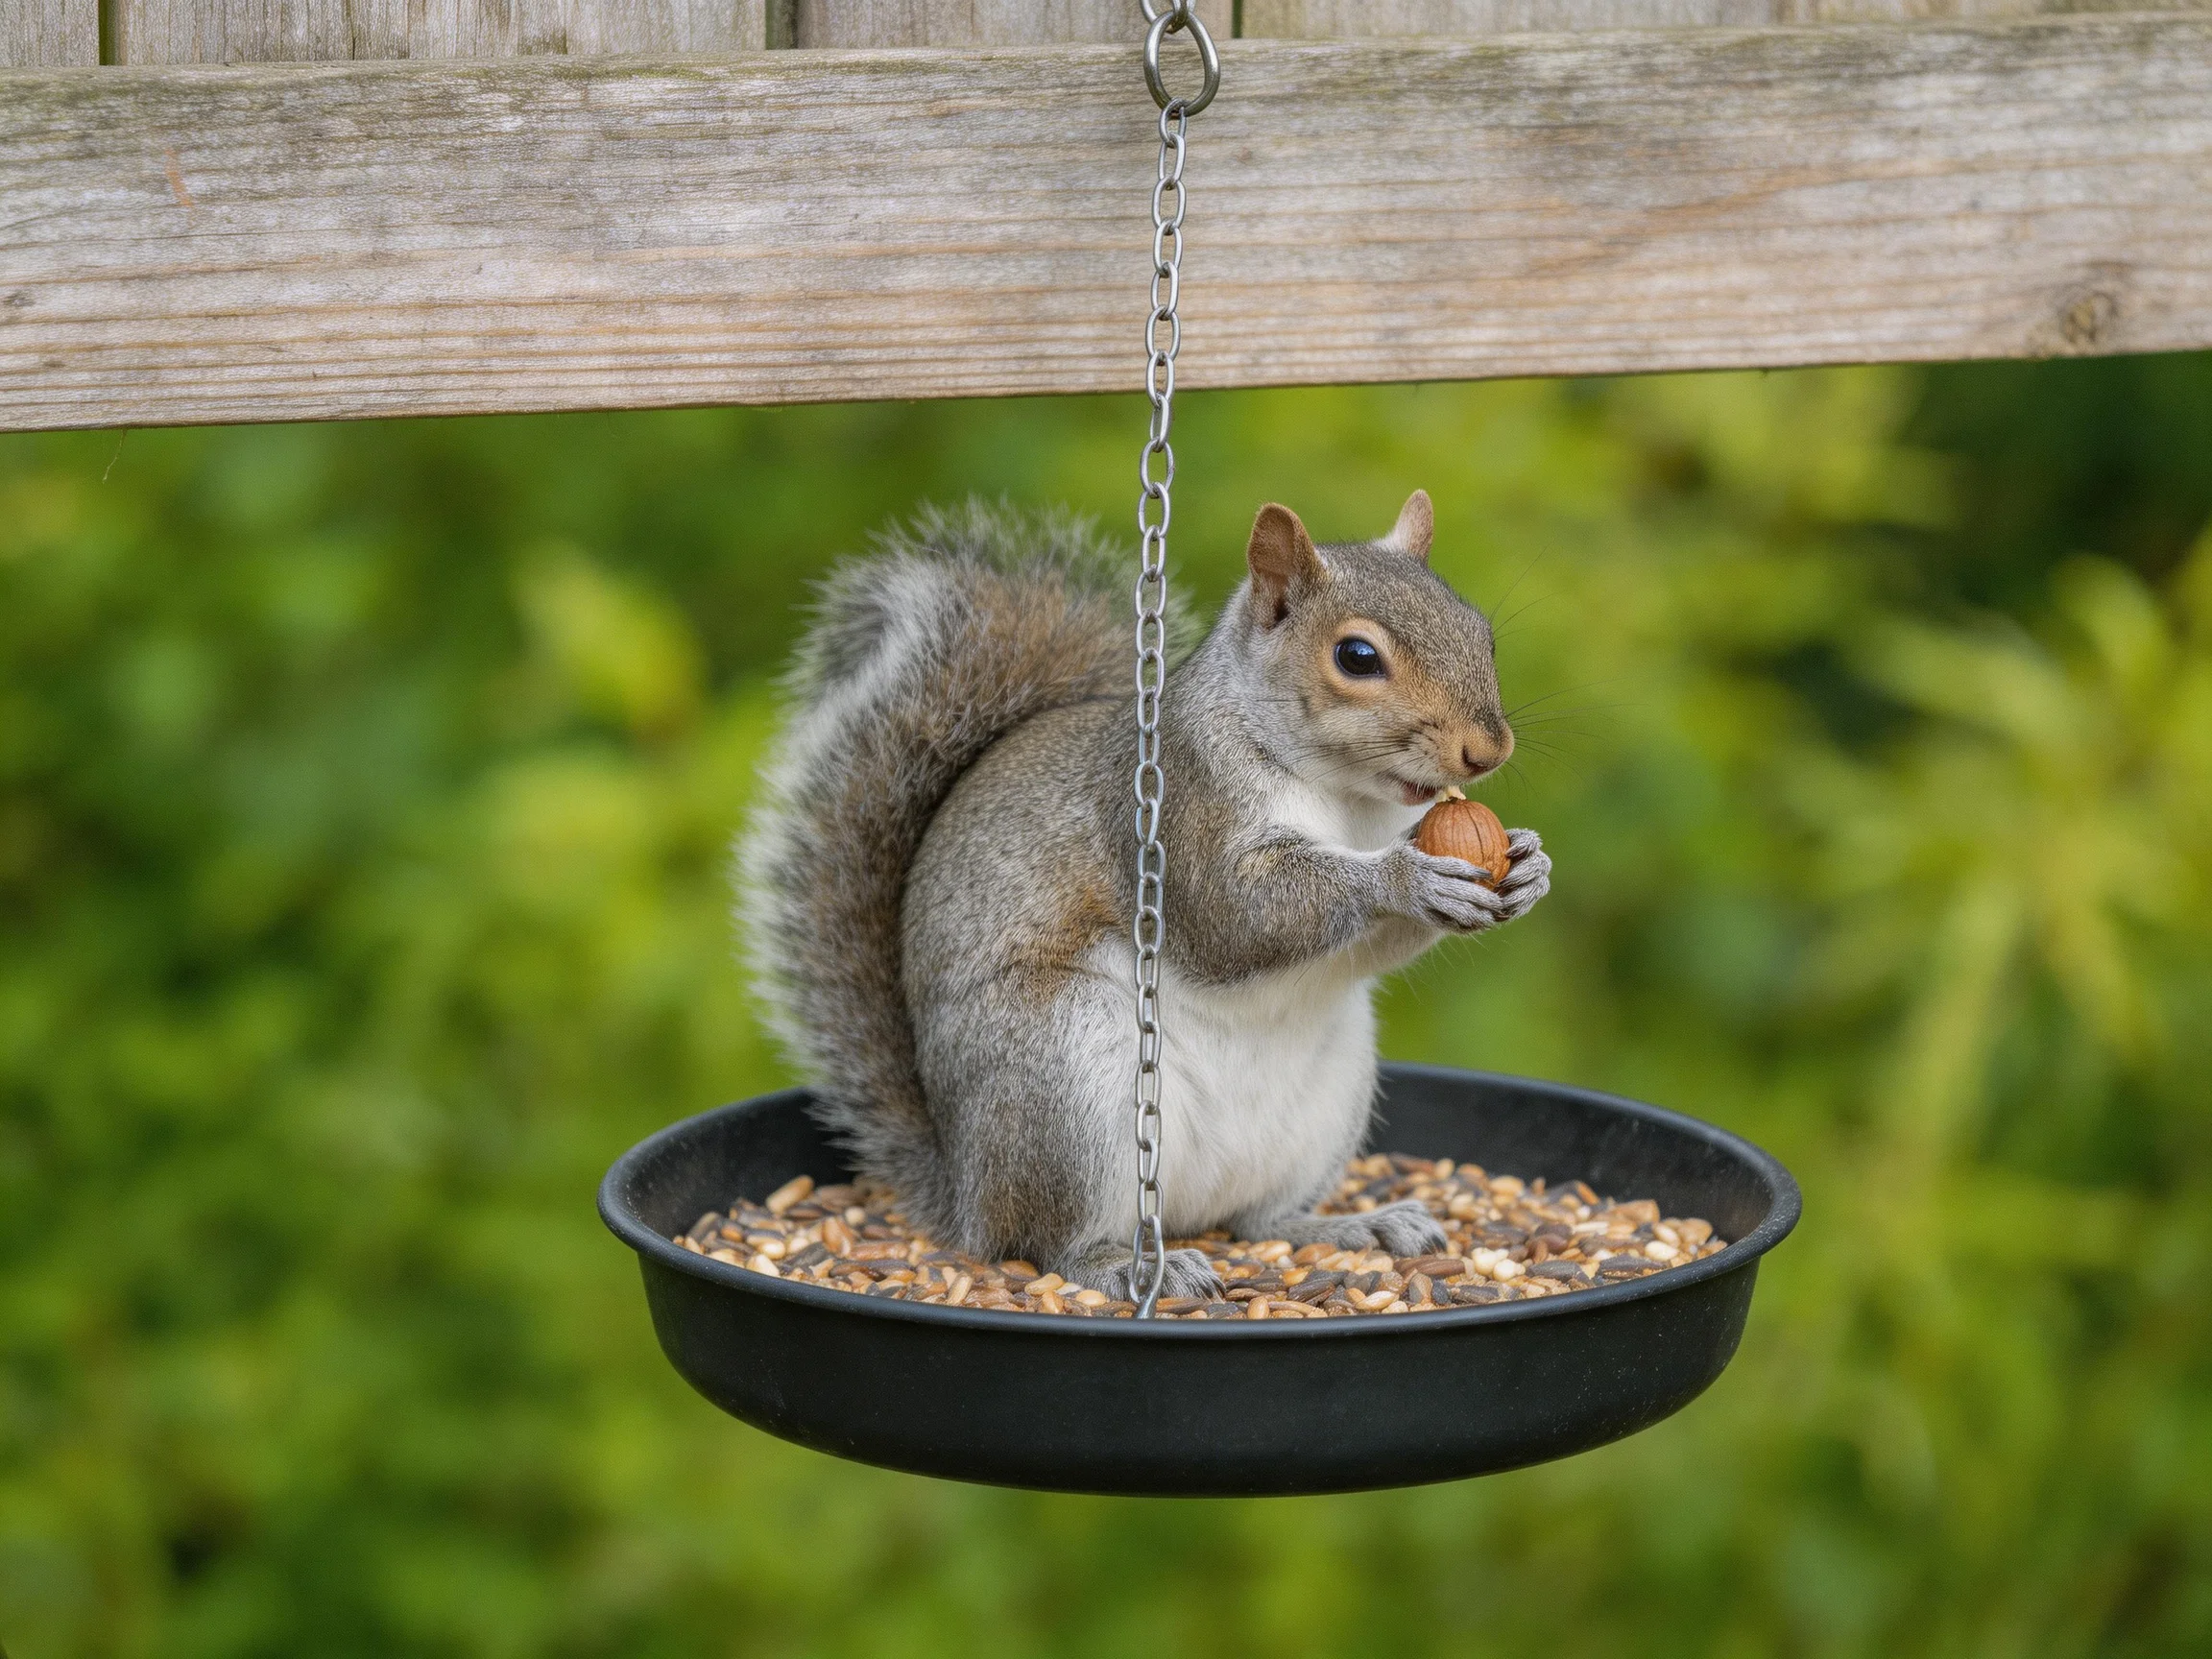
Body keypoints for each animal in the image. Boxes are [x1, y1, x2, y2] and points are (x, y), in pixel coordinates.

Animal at [738, 492, 1551, 1301]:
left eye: (1480, 632)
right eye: (1357, 657)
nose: (1488, 751)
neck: (1349, 800)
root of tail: (965, 1191)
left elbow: (1368, 948)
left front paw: (1528, 867)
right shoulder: (1177, 820)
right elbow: (1238, 920)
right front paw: (1404, 878)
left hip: (1325, 1104)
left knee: (1258, 1220)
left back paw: (1353, 1226)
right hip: (1062, 1079)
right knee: (1041, 1244)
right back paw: (1121, 1264)